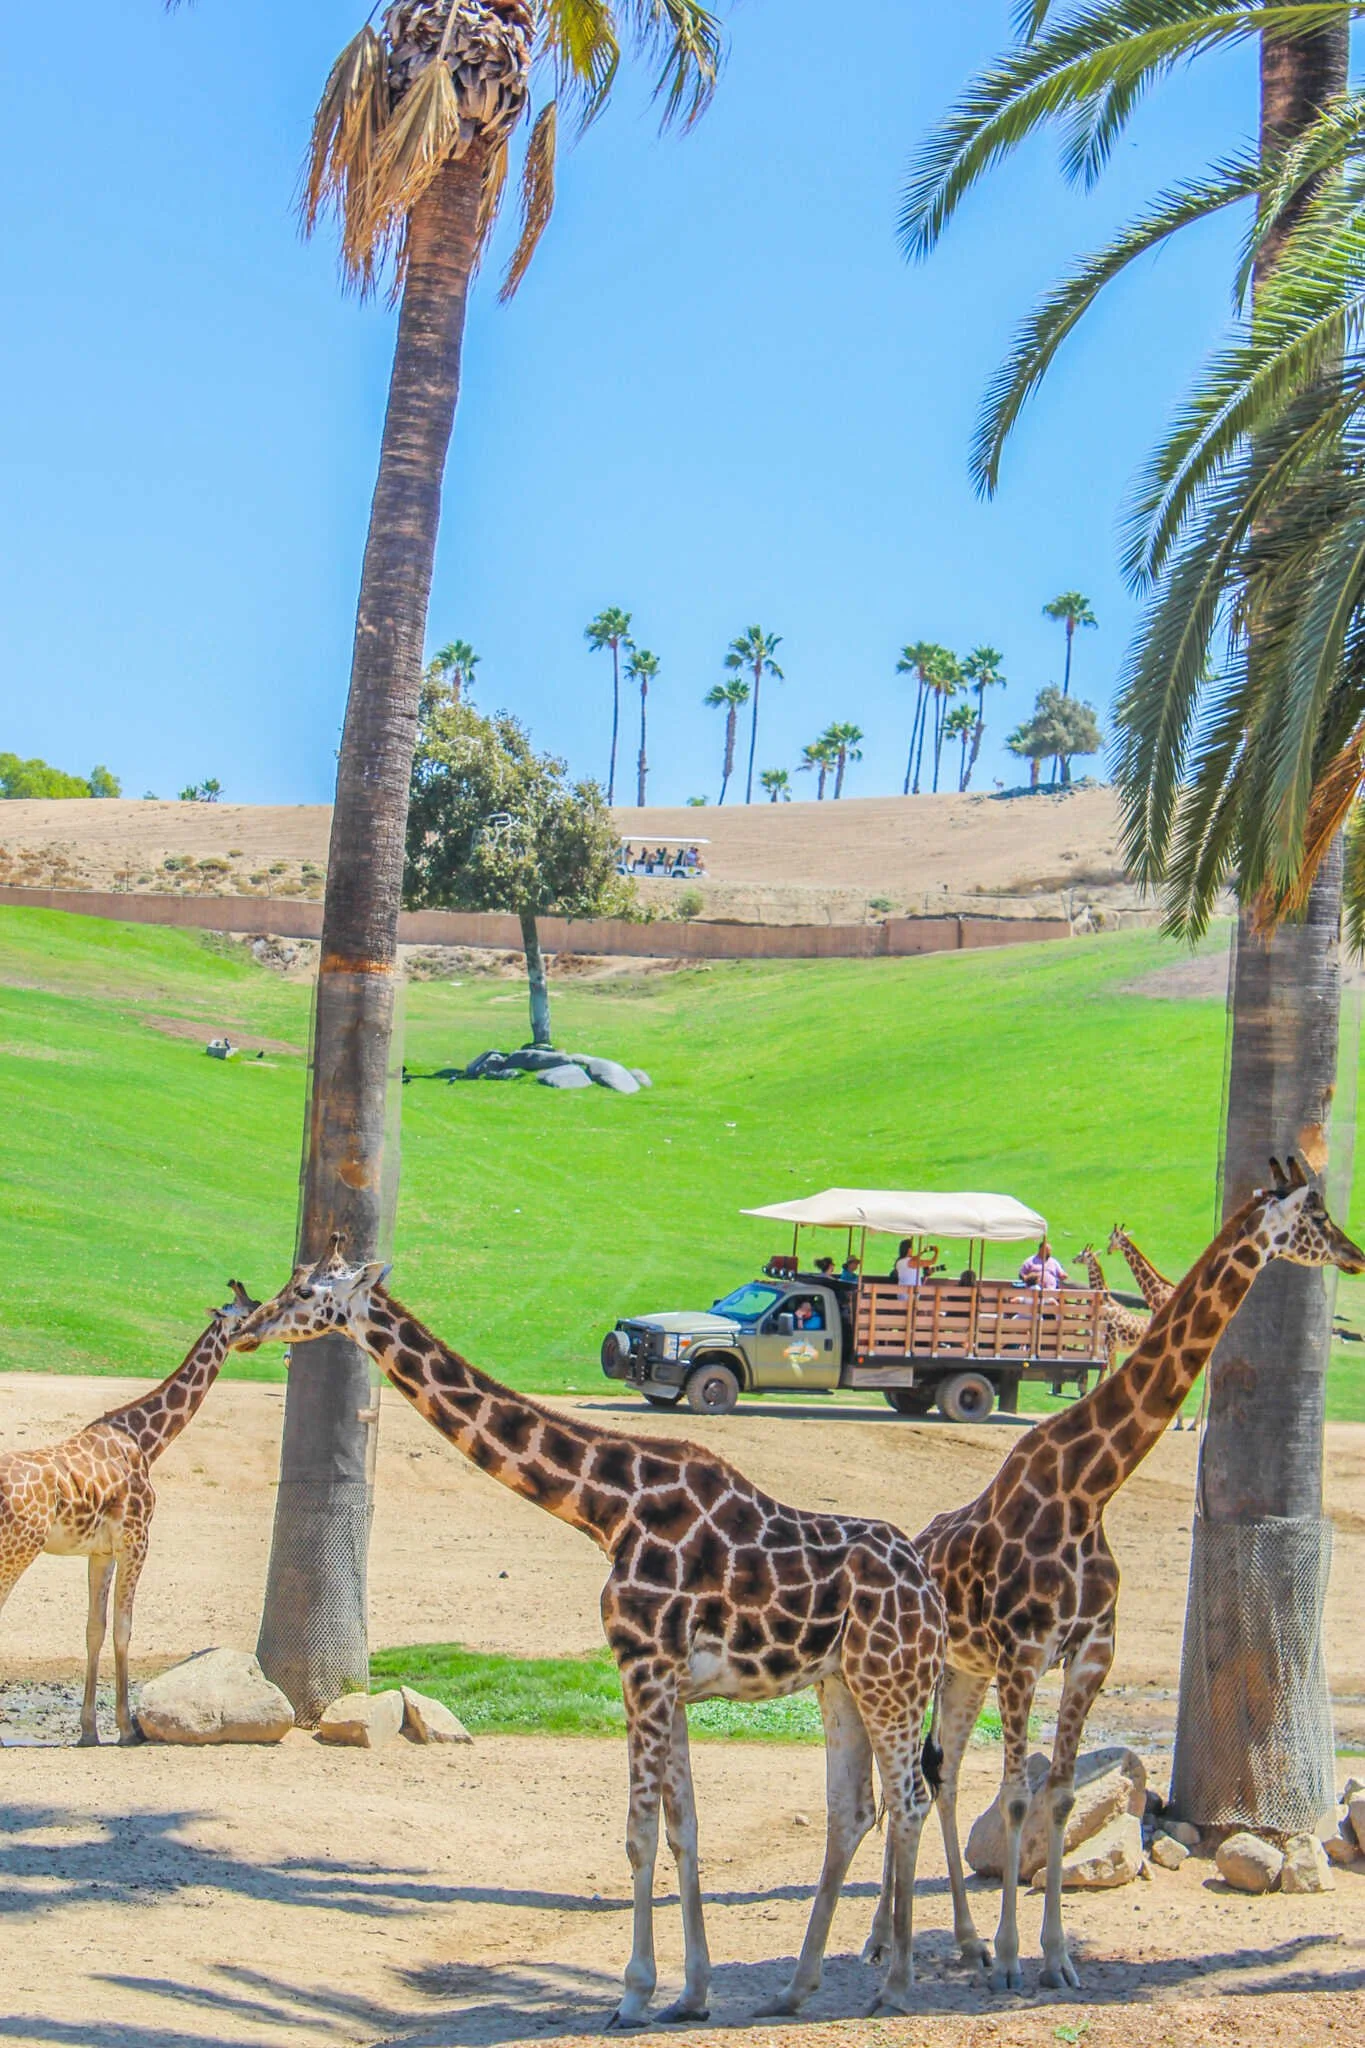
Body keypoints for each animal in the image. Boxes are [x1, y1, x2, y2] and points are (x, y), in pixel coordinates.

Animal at [0, 1280, 257, 1745]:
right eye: (246, 1313)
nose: (263, 1336)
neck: (145, 1441)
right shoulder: (136, 1540)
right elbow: (124, 1628)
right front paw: (125, 1728)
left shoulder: (100, 1551)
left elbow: (94, 1629)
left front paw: (89, 1730)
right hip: (17, 1549)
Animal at [234, 1245, 946, 2026]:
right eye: (289, 1282)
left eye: (306, 1292)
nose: (246, 1325)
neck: (606, 1509)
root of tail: (928, 1588)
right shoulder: (669, 1683)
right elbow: (683, 1831)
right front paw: (691, 1995)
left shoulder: (641, 1668)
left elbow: (639, 1835)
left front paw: (633, 1996)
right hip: (840, 1683)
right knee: (853, 1812)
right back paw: (794, 1988)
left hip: (893, 1679)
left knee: (910, 1799)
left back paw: (896, 1984)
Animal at [1074, 1244, 1149, 1377]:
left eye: (1080, 1254)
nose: (1073, 1259)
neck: (1105, 1301)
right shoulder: (1111, 1347)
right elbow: (1111, 1372)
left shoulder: (1108, 1345)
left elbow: (1104, 1374)